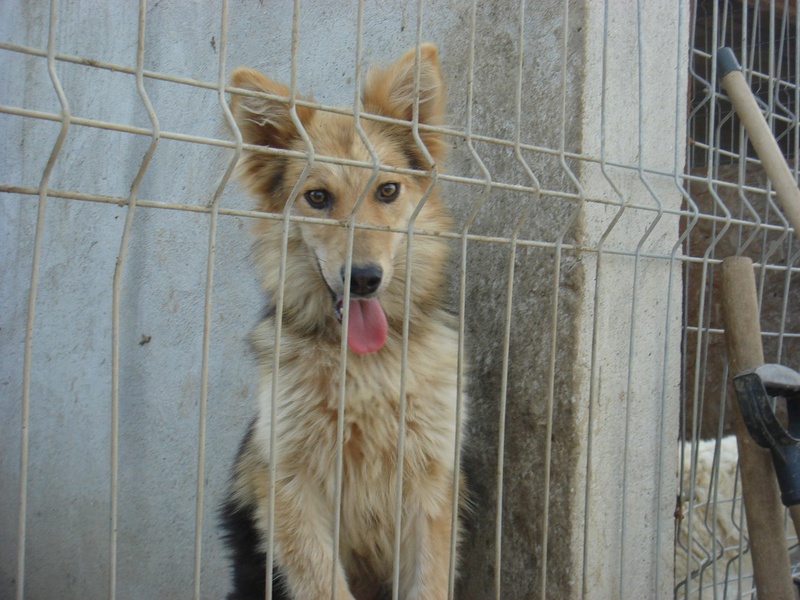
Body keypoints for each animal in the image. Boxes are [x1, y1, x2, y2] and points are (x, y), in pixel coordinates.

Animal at [220, 45, 468, 600]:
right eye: (317, 198)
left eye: (388, 191)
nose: (364, 279)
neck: (367, 369)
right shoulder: (290, 486)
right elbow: (322, 582)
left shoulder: (430, 487)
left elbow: (429, 581)